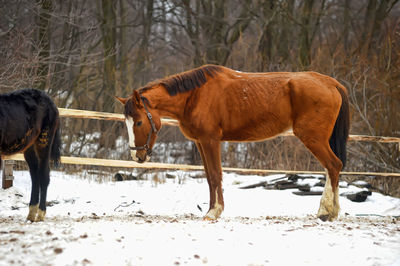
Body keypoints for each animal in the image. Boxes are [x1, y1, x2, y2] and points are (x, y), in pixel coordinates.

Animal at [0, 88, 61, 221]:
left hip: (44, 141)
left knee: (43, 175)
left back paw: (40, 214)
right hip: (29, 148)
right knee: (35, 176)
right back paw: (31, 213)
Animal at [116, 64, 350, 220]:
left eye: (138, 122)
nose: (137, 155)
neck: (194, 96)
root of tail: (331, 83)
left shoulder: (210, 141)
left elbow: (216, 174)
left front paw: (214, 211)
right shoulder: (200, 142)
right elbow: (209, 177)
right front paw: (211, 209)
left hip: (313, 137)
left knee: (333, 165)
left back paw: (326, 211)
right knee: (331, 168)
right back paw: (332, 211)